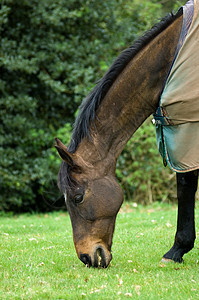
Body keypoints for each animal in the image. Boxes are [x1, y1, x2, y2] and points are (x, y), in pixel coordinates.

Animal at [55, 0, 198, 268]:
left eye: (78, 198)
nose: (87, 257)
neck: (173, 54)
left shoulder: (187, 131)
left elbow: (185, 185)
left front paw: (176, 250)